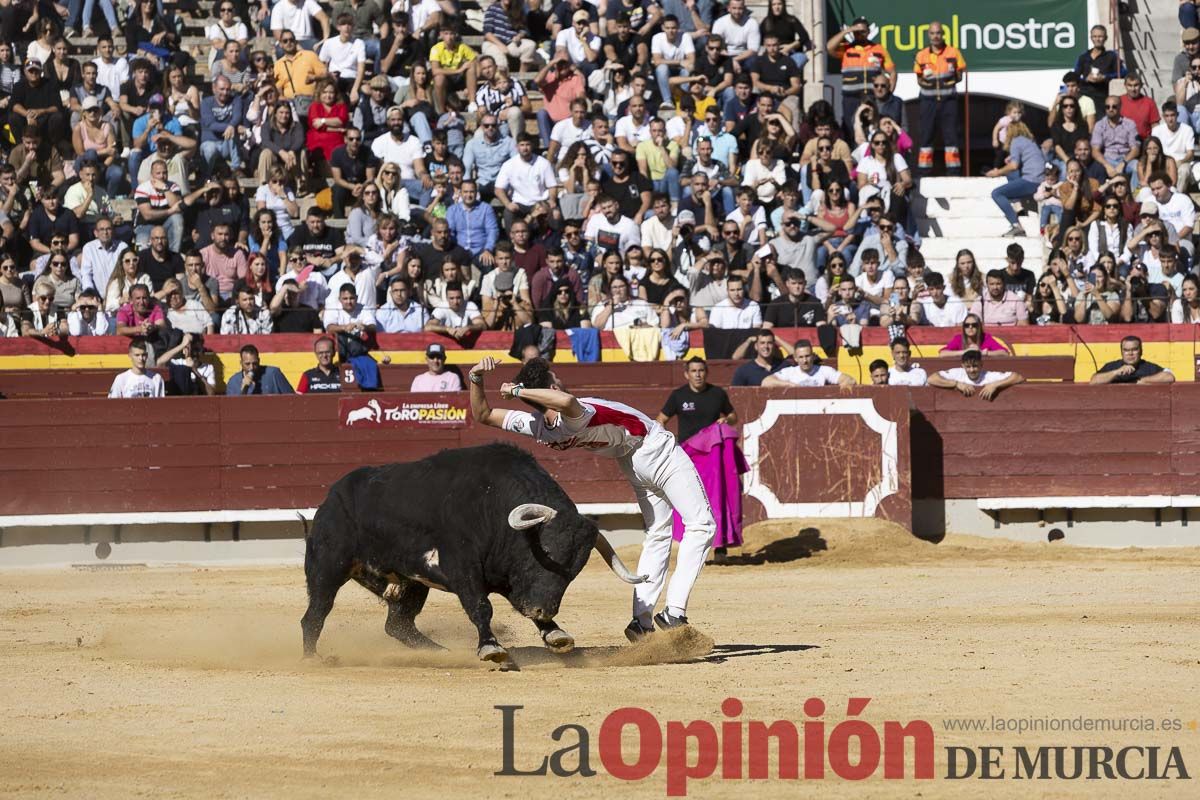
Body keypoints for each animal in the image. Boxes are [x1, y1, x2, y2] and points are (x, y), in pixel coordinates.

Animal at [300, 443, 643, 662]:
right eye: (546, 551)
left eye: (576, 570)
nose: (543, 610)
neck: (493, 505)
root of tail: (332, 496)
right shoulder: (463, 568)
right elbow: (481, 607)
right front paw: (491, 648)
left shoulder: (507, 577)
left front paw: (555, 633)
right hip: (328, 566)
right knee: (315, 614)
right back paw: (312, 657)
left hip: (413, 583)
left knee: (398, 624)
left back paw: (438, 652)